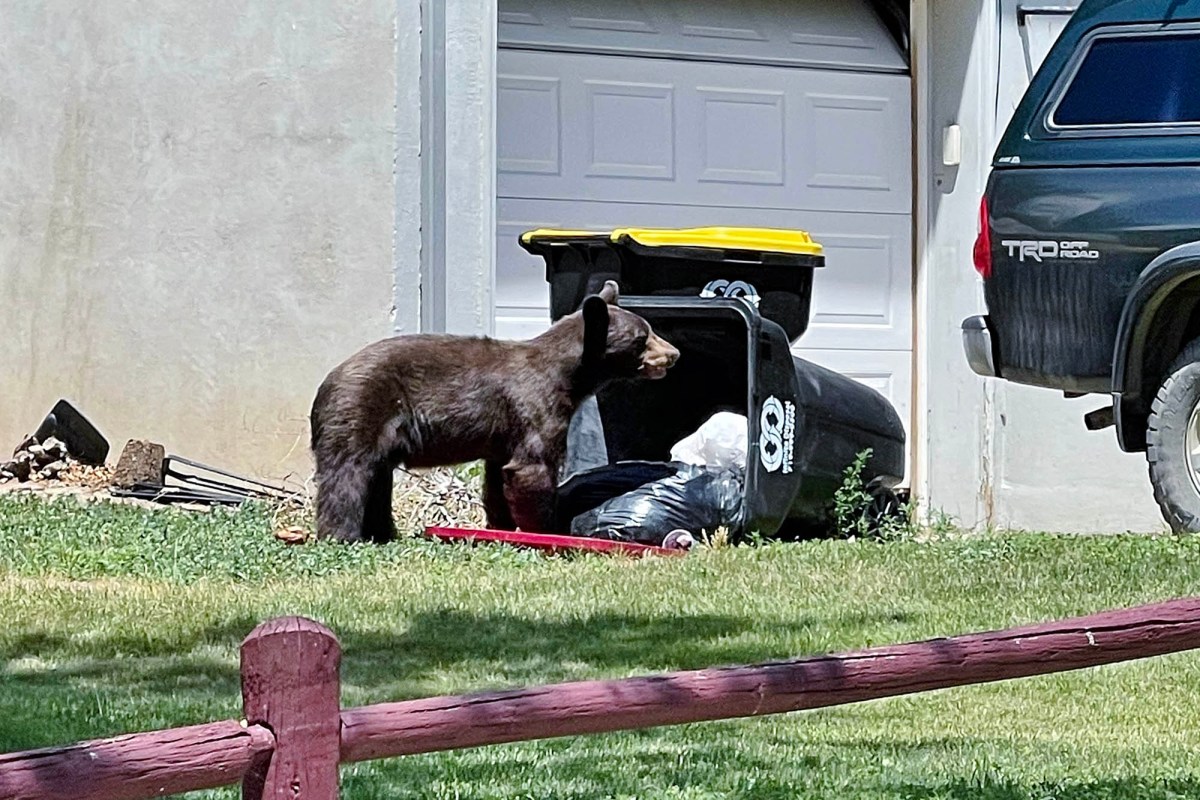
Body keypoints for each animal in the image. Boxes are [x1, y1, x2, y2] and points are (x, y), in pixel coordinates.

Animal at [308, 280, 679, 543]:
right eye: (643, 337)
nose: (674, 354)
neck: (568, 376)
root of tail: (325, 385)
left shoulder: (504, 434)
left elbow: (498, 479)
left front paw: (501, 526)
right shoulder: (535, 407)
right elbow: (532, 468)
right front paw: (547, 531)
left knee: (376, 479)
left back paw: (382, 533)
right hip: (360, 410)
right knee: (348, 476)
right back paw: (343, 536)